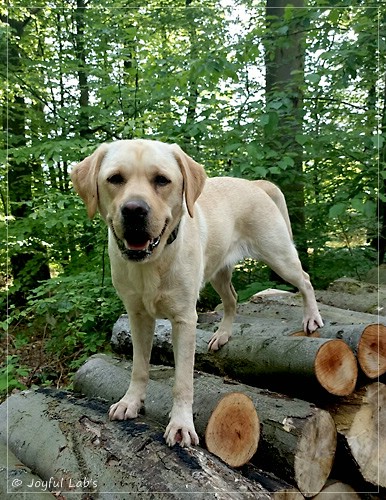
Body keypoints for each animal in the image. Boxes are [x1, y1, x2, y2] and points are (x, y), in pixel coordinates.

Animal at [71, 141, 322, 450]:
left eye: (162, 180)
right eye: (115, 178)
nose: (134, 210)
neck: (152, 262)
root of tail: (255, 184)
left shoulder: (184, 319)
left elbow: (183, 381)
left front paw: (181, 425)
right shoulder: (137, 316)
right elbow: (139, 367)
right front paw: (130, 402)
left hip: (278, 255)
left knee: (305, 280)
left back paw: (312, 318)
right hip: (218, 271)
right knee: (232, 299)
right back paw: (222, 335)